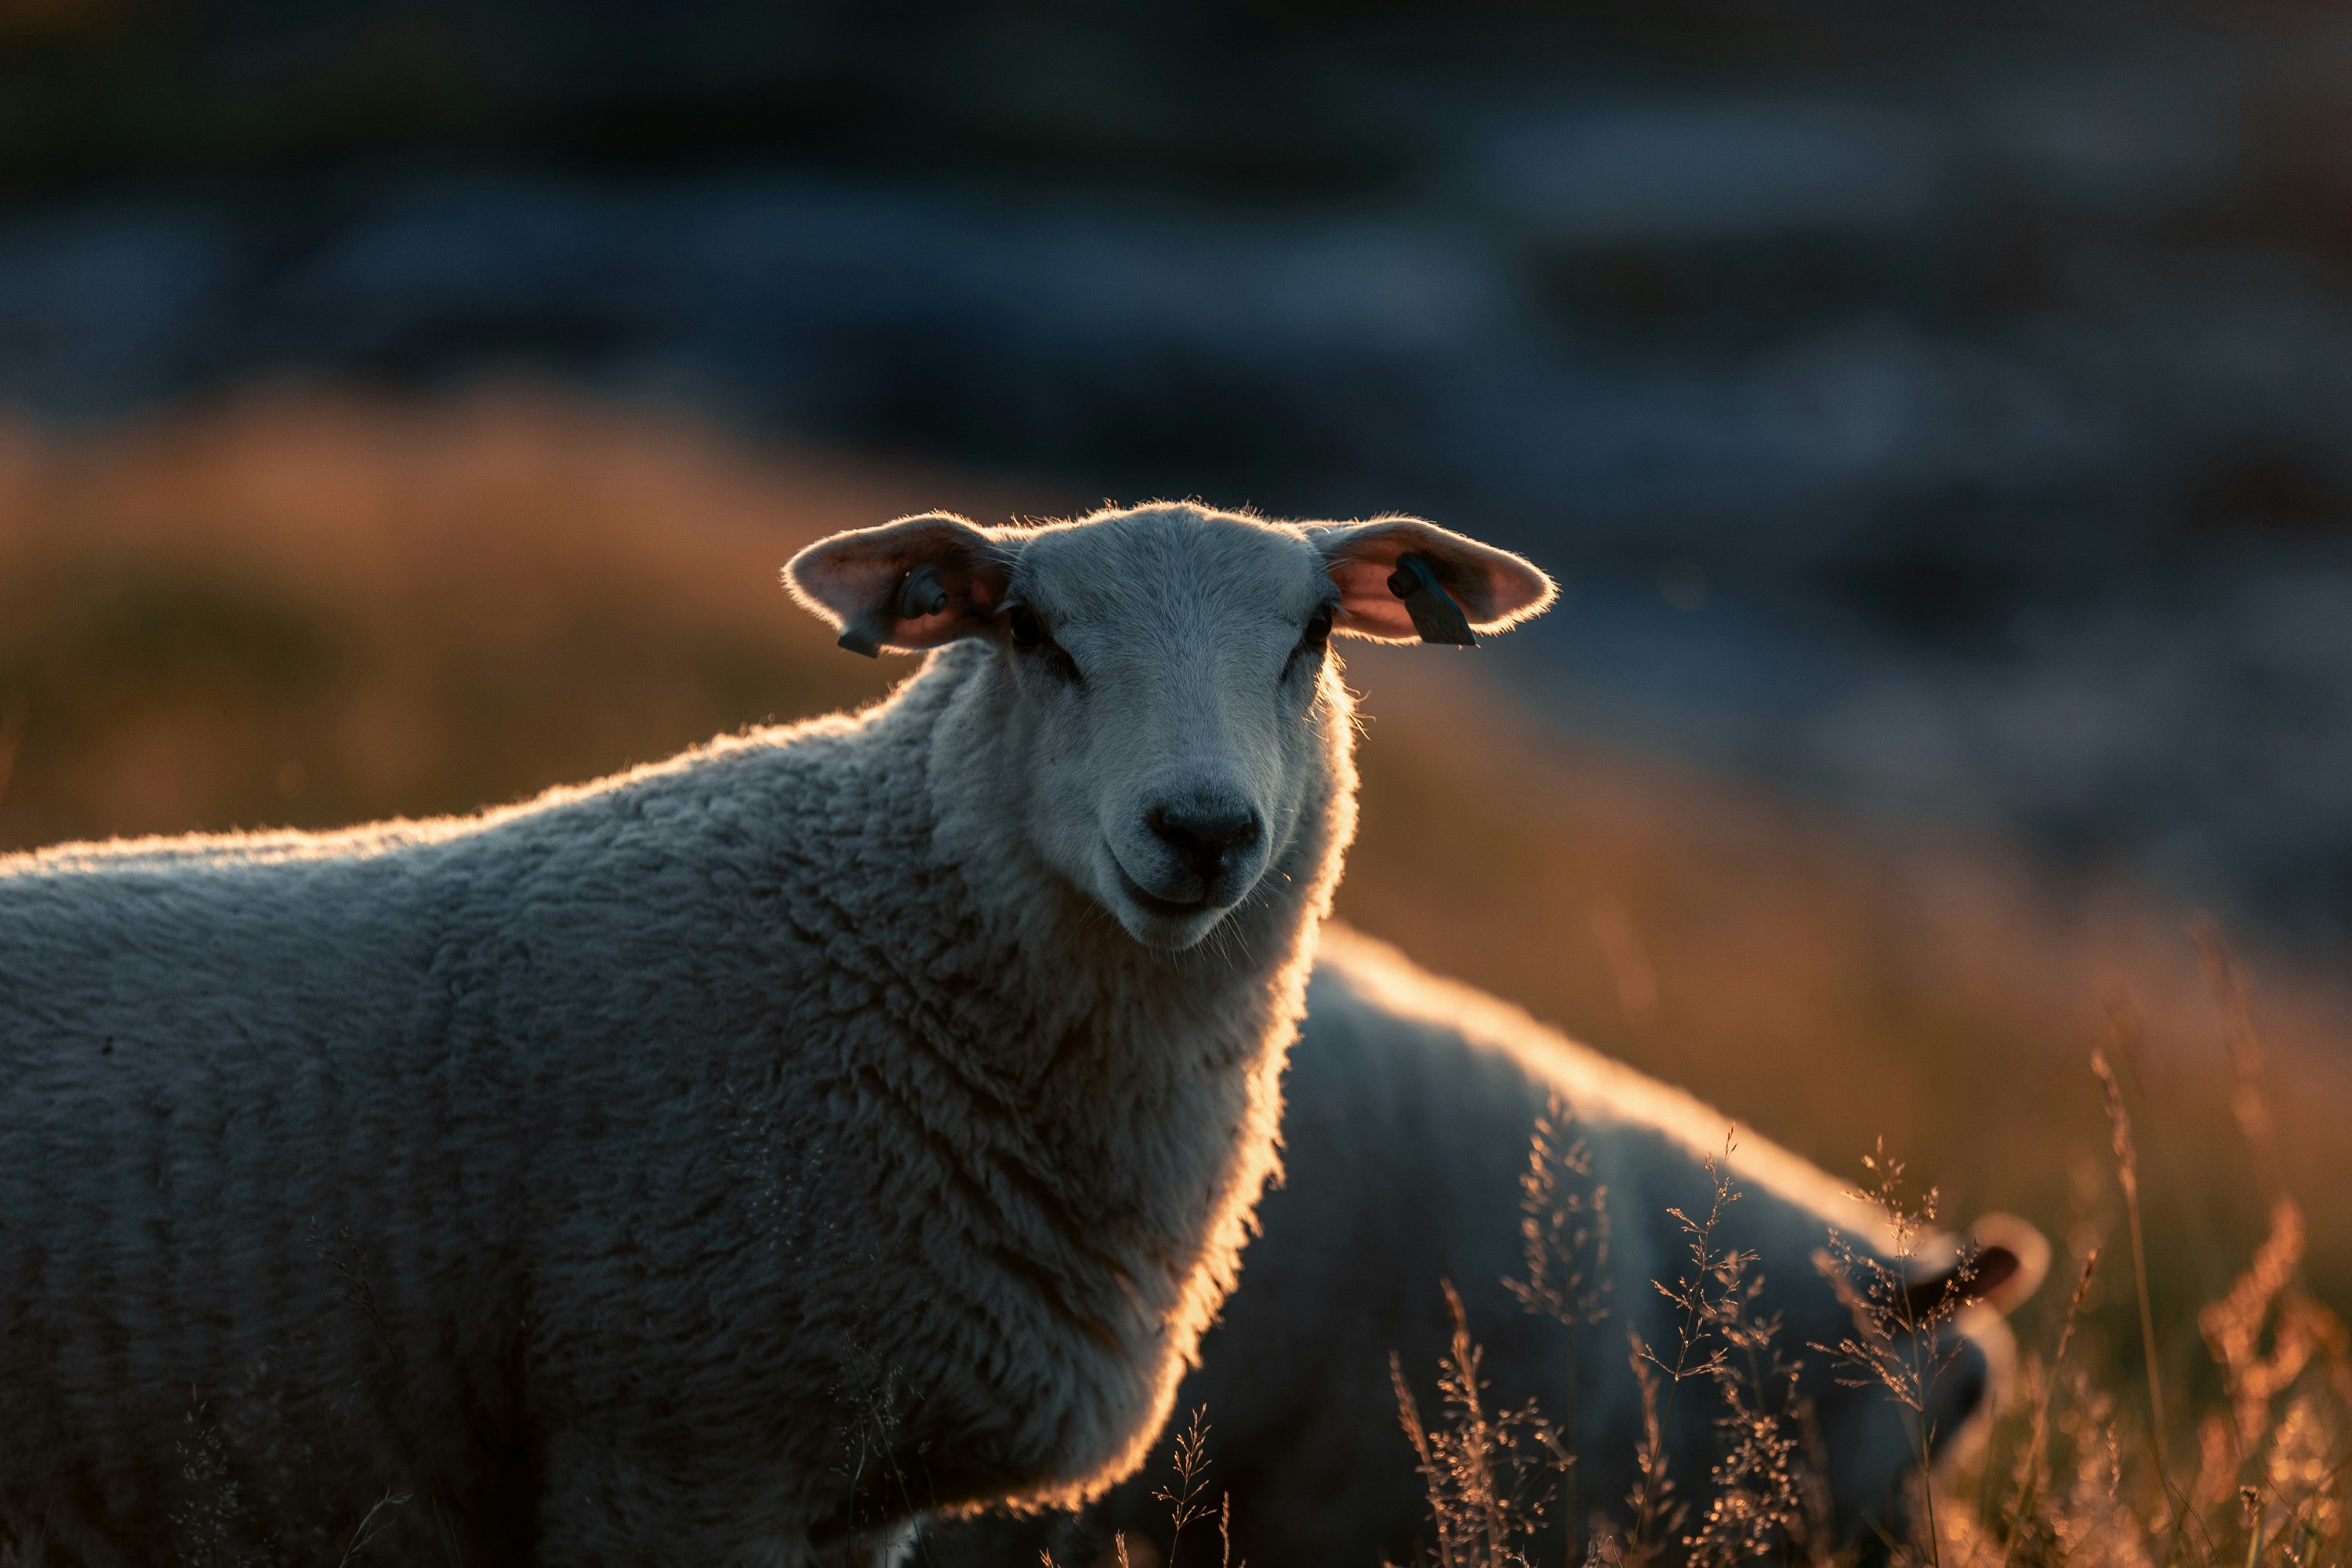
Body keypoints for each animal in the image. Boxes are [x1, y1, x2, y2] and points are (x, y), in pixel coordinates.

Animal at [0, 501, 1555, 1566]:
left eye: (1313, 637)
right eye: (1032, 635)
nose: (1203, 829)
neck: (876, 930)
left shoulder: (850, 1490)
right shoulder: (682, 1451)